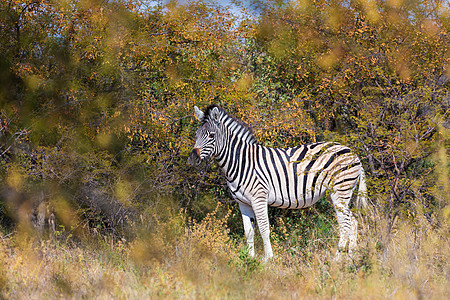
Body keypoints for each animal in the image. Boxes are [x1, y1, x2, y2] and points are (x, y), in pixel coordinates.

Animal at [188, 105, 368, 260]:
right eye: (196, 134)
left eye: (211, 135)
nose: (193, 158)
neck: (241, 162)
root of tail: (353, 153)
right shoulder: (243, 203)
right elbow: (249, 232)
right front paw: (249, 259)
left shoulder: (259, 198)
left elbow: (263, 228)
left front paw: (268, 259)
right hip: (334, 194)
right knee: (352, 221)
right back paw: (350, 257)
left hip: (340, 191)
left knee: (346, 224)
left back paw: (337, 259)